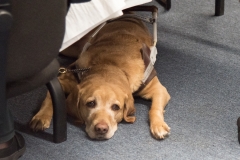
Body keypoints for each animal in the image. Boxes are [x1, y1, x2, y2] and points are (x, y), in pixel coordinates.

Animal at [30, 15, 171, 139]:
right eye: (91, 103)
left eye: (115, 107)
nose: (101, 129)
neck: (111, 65)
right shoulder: (63, 80)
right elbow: (50, 98)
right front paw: (41, 116)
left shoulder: (158, 89)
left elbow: (155, 108)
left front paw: (158, 126)